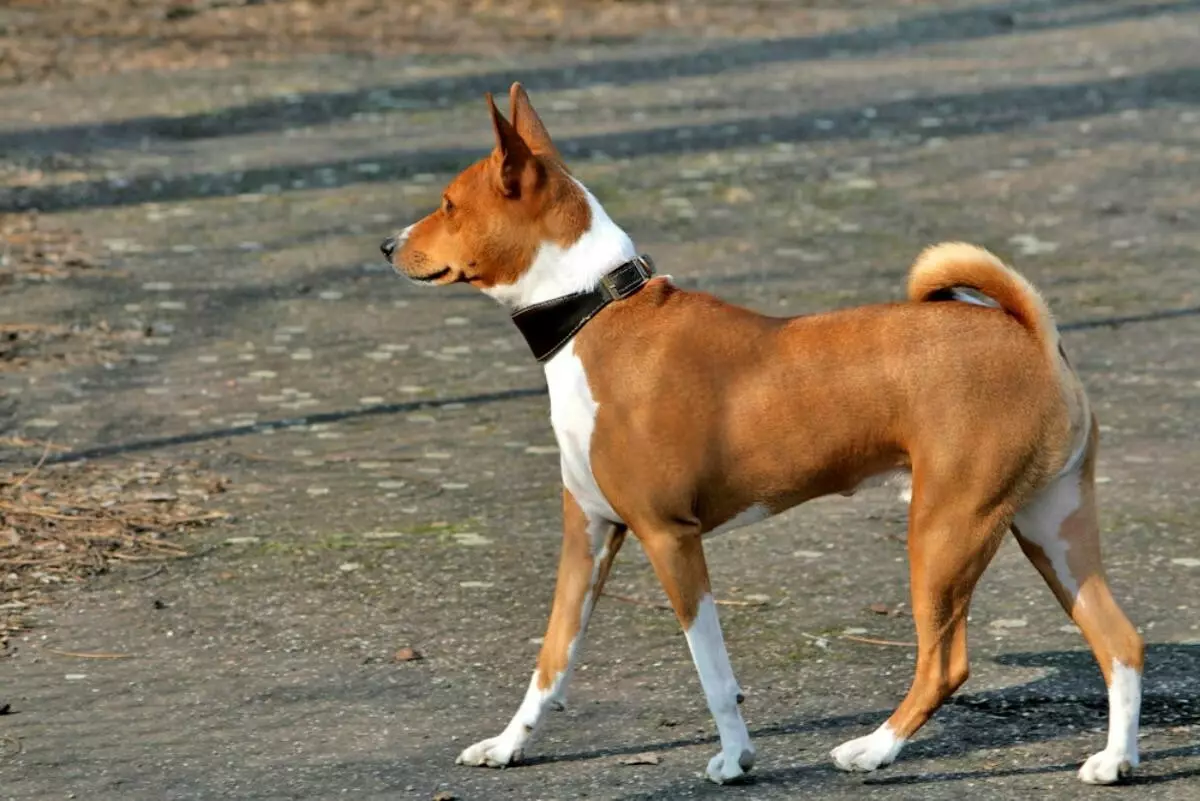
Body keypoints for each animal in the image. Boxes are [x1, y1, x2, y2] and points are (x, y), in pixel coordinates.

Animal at [381, 82, 1142, 786]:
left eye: (447, 204)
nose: (387, 245)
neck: (595, 314)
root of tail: (1031, 335)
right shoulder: (590, 533)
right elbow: (551, 658)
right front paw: (508, 744)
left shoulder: (669, 535)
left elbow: (712, 670)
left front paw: (735, 757)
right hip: (1050, 530)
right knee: (1121, 642)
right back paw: (1116, 759)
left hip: (946, 530)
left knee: (946, 664)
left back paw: (874, 750)